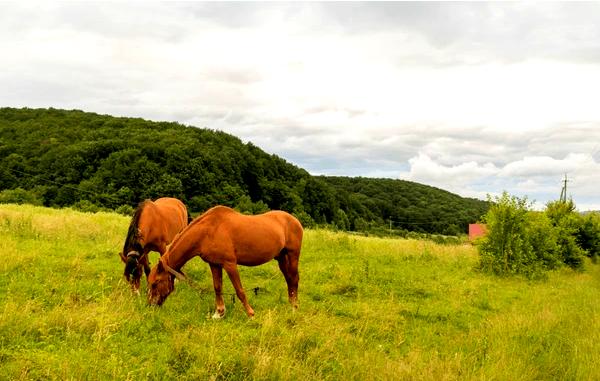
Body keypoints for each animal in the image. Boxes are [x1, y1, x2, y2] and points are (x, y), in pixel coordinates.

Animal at [146, 205, 304, 318]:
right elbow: (217, 287)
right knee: (289, 280)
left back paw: (295, 308)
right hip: (281, 258)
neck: (208, 231)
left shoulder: (230, 264)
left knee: (294, 279)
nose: (150, 305)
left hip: (293, 255)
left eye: (155, 283)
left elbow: (239, 290)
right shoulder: (215, 264)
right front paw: (219, 312)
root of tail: (294, 220)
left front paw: (251, 314)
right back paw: (291, 304)